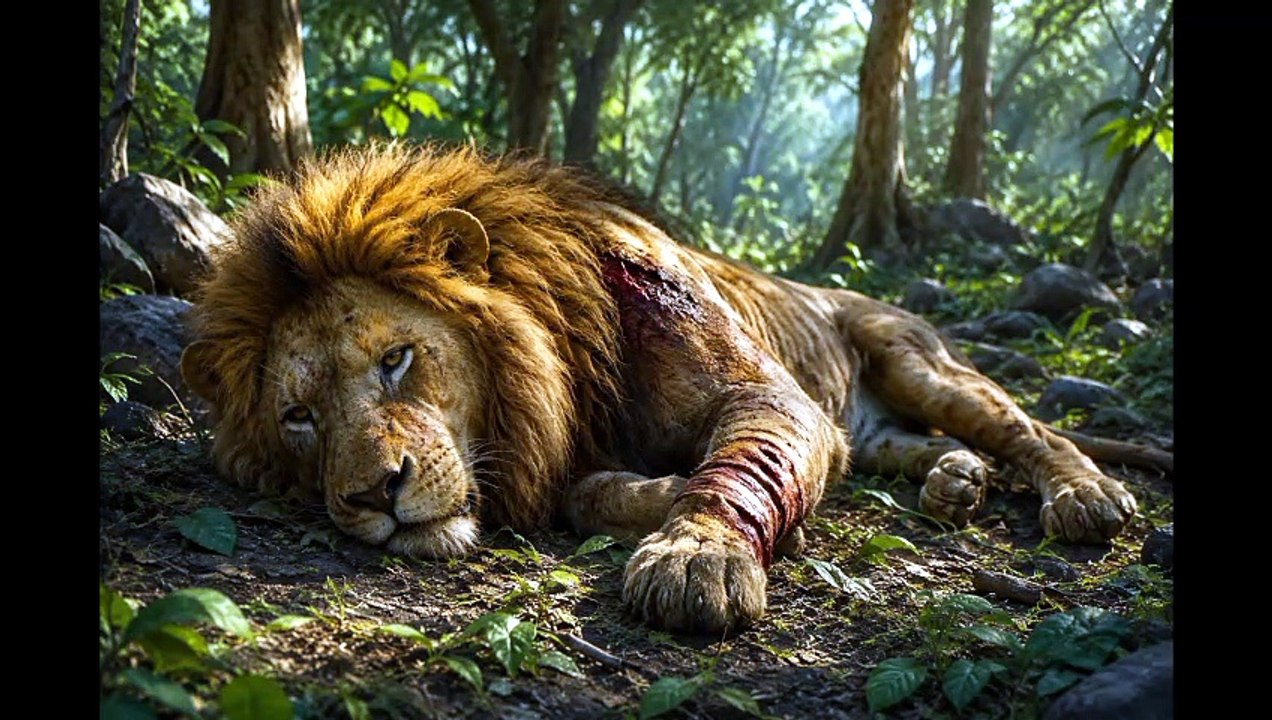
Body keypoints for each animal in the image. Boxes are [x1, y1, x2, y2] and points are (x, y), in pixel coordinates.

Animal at [181, 144, 1164, 634]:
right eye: (299, 418)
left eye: (396, 359)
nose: (371, 496)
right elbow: (590, 492)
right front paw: (657, 497)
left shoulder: (769, 400)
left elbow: (743, 467)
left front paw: (698, 555)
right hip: (874, 430)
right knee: (914, 449)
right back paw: (956, 483)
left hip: (917, 361)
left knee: (1032, 432)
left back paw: (1082, 496)